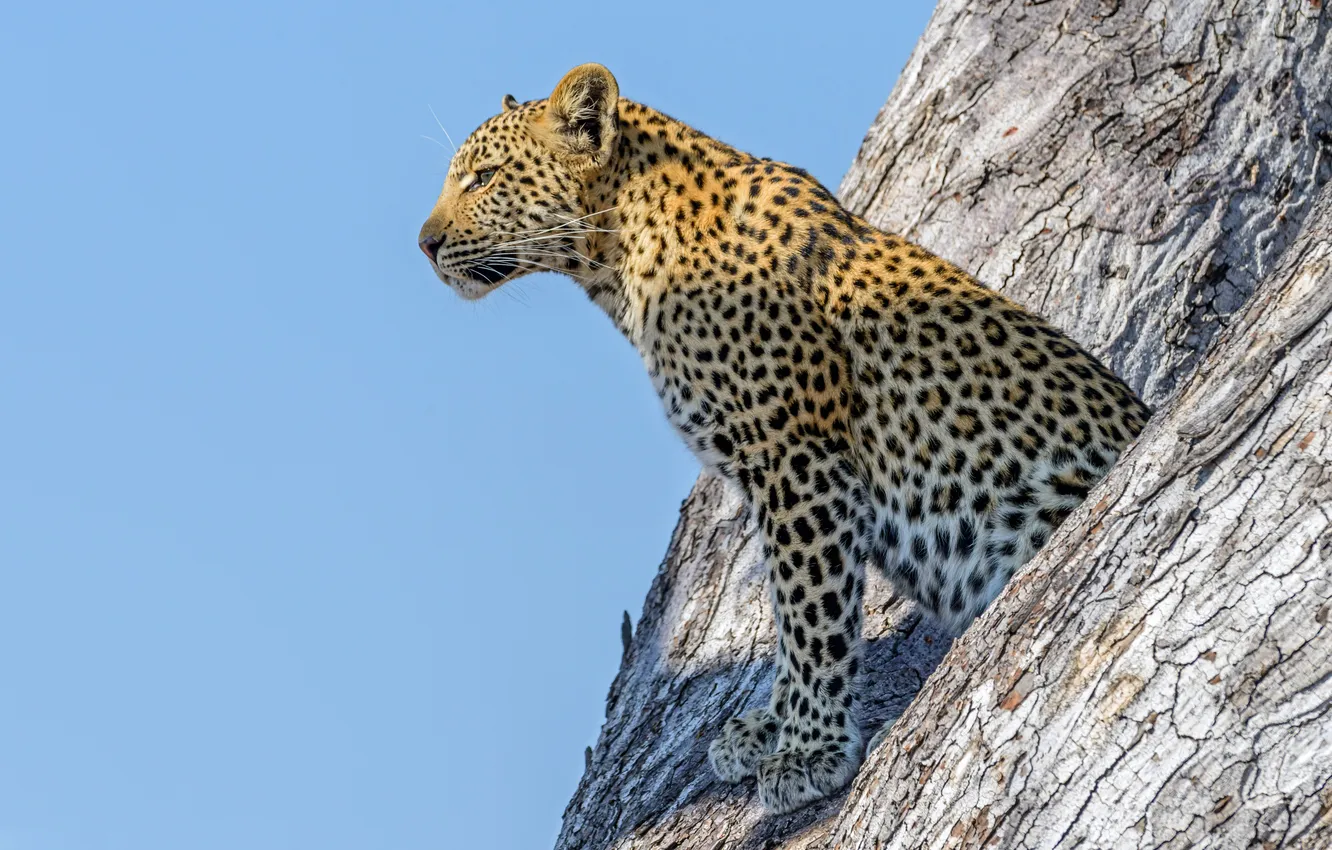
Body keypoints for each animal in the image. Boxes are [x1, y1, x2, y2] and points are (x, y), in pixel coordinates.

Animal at [417, 63, 1151, 814]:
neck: (622, 257)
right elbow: (790, 604)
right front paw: (773, 726)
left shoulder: (797, 460)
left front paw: (809, 749)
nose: (425, 244)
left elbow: (808, 610)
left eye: (482, 177)